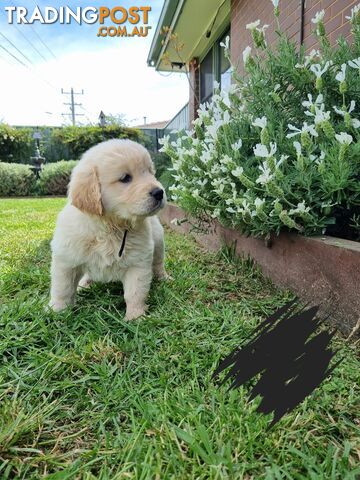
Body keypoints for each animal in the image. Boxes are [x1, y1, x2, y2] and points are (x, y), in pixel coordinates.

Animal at [48, 139, 167, 318]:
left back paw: (164, 278)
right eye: (125, 178)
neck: (110, 227)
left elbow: (135, 292)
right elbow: (63, 288)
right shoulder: (66, 260)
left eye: (150, 172)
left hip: (158, 241)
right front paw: (57, 311)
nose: (159, 192)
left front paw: (136, 316)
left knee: (158, 263)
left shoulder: (138, 263)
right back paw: (85, 283)